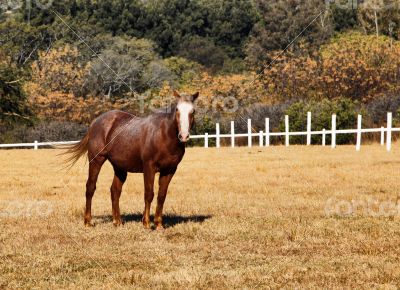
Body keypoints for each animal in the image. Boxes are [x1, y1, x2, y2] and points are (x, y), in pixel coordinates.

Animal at [65, 90, 199, 229]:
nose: (184, 136)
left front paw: (158, 224)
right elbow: (149, 194)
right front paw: (146, 223)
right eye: (177, 109)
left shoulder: (169, 170)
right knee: (90, 187)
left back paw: (117, 221)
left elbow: (162, 196)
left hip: (119, 167)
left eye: (193, 111)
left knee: (115, 190)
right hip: (96, 160)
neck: (164, 135)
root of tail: (95, 122)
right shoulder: (149, 167)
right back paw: (88, 221)